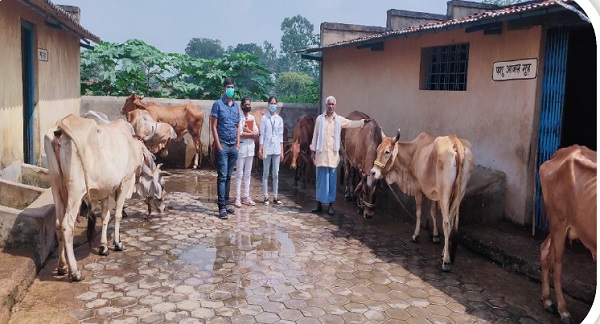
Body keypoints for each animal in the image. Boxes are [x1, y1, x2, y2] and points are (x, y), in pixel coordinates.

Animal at [43, 114, 166, 280]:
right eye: (161, 183)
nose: (162, 208)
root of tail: (60, 129)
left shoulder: (105, 191)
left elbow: (105, 217)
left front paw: (103, 247)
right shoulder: (124, 183)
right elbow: (118, 215)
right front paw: (117, 244)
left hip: (56, 187)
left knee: (57, 224)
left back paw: (62, 266)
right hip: (75, 191)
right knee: (66, 226)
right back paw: (75, 272)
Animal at [370, 130, 474, 270]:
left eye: (387, 152)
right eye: (377, 149)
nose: (373, 172)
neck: (414, 151)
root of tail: (455, 141)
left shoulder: (418, 188)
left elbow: (419, 212)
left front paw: (416, 235)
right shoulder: (434, 193)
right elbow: (433, 212)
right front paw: (435, 236)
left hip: (445, 193)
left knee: (446, 222)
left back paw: (446, 261)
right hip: (459, 192)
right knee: (451, 221)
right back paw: (444, 253)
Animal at [540, 145, 596, 324]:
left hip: (560, 224)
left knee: (545, 250)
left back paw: (547, 301)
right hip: (558, 222)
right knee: (557, 264)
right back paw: (563, 310)